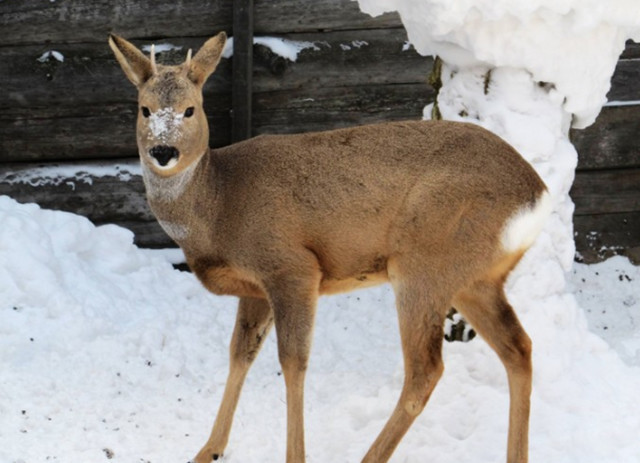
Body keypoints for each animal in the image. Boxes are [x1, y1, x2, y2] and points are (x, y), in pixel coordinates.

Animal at [110, 33, 552, 463]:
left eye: (190, 110)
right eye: (145, 109)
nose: (163, 152)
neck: (219, 206)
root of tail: (536, 195)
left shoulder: (292, 266)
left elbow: (293, 363)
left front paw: (293, 456)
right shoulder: (254, 289)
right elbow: (240, 353)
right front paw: (208, 450)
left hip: (424, 263)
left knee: (426, 370)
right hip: (477, 278)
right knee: (519, 348)